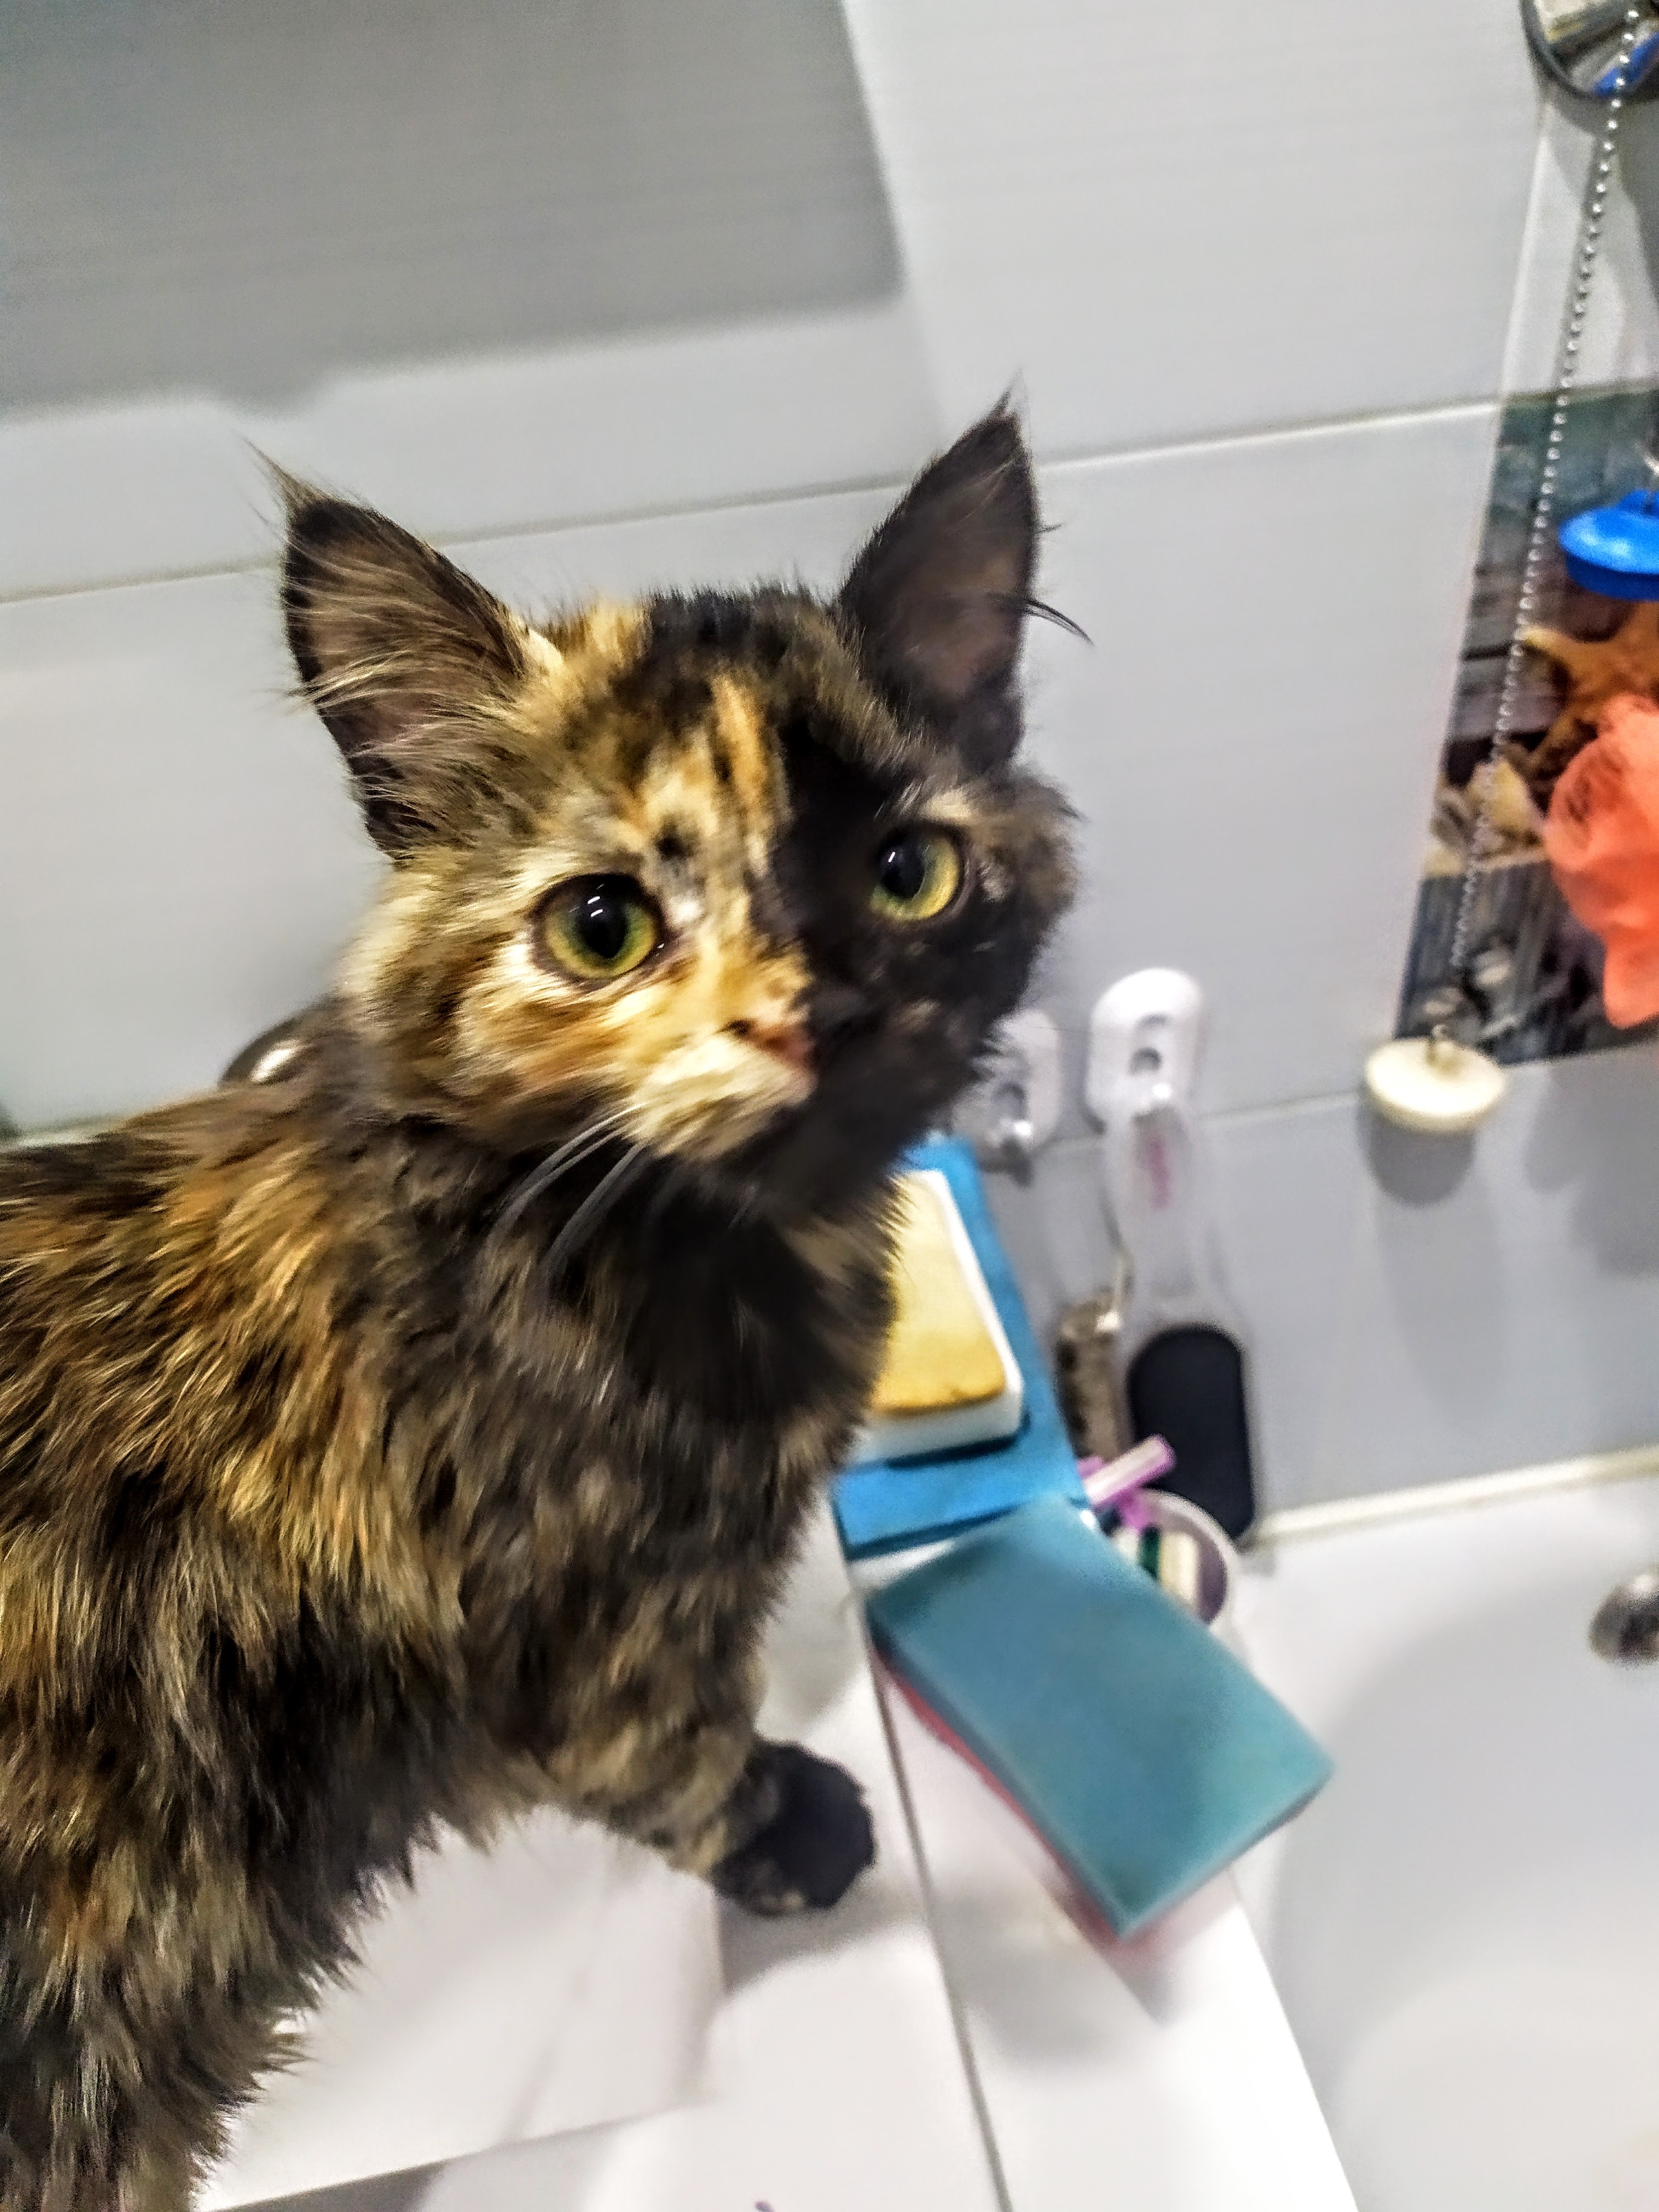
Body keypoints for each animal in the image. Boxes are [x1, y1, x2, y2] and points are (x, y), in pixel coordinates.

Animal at [0, 407, 1075, 2211]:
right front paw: (795, 1830)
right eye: (601, 924)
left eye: (907, 871)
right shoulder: (596, 1645)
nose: (817, 1012)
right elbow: (677, 1760)